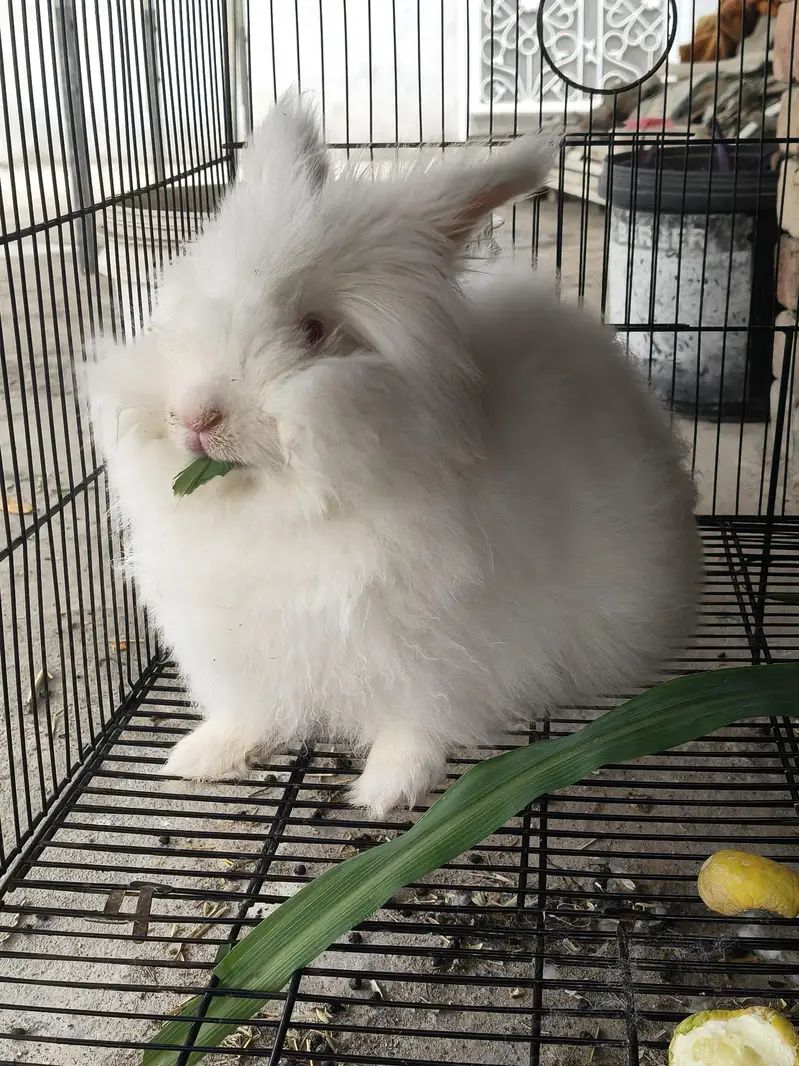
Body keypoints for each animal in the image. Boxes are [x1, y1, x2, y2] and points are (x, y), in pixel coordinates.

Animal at [85, 93, 702, 818]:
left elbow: (417, 720)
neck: (287, 513)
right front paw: (201, 757)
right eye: (184, 312)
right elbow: (255, 711)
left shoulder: (437, 651)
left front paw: (384, 792)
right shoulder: (247, 649)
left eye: (314, 330)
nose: (194, 417)